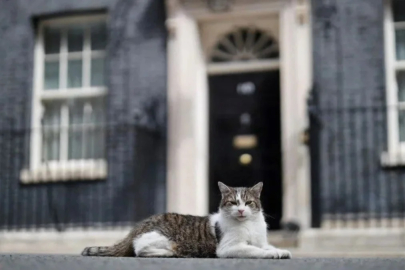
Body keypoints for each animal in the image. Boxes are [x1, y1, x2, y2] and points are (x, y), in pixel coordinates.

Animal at [81, 181, 290, 260]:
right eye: (233, 202)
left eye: (248, 202)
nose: (240, 210)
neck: (249, 225)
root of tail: (138, 226)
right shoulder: (228, 248)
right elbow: (255, 250)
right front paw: (272, 254)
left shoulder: (261, 241)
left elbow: (266, 246)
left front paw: (280, 251)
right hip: (161, 238)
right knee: (139, 249)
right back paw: (170, 253)